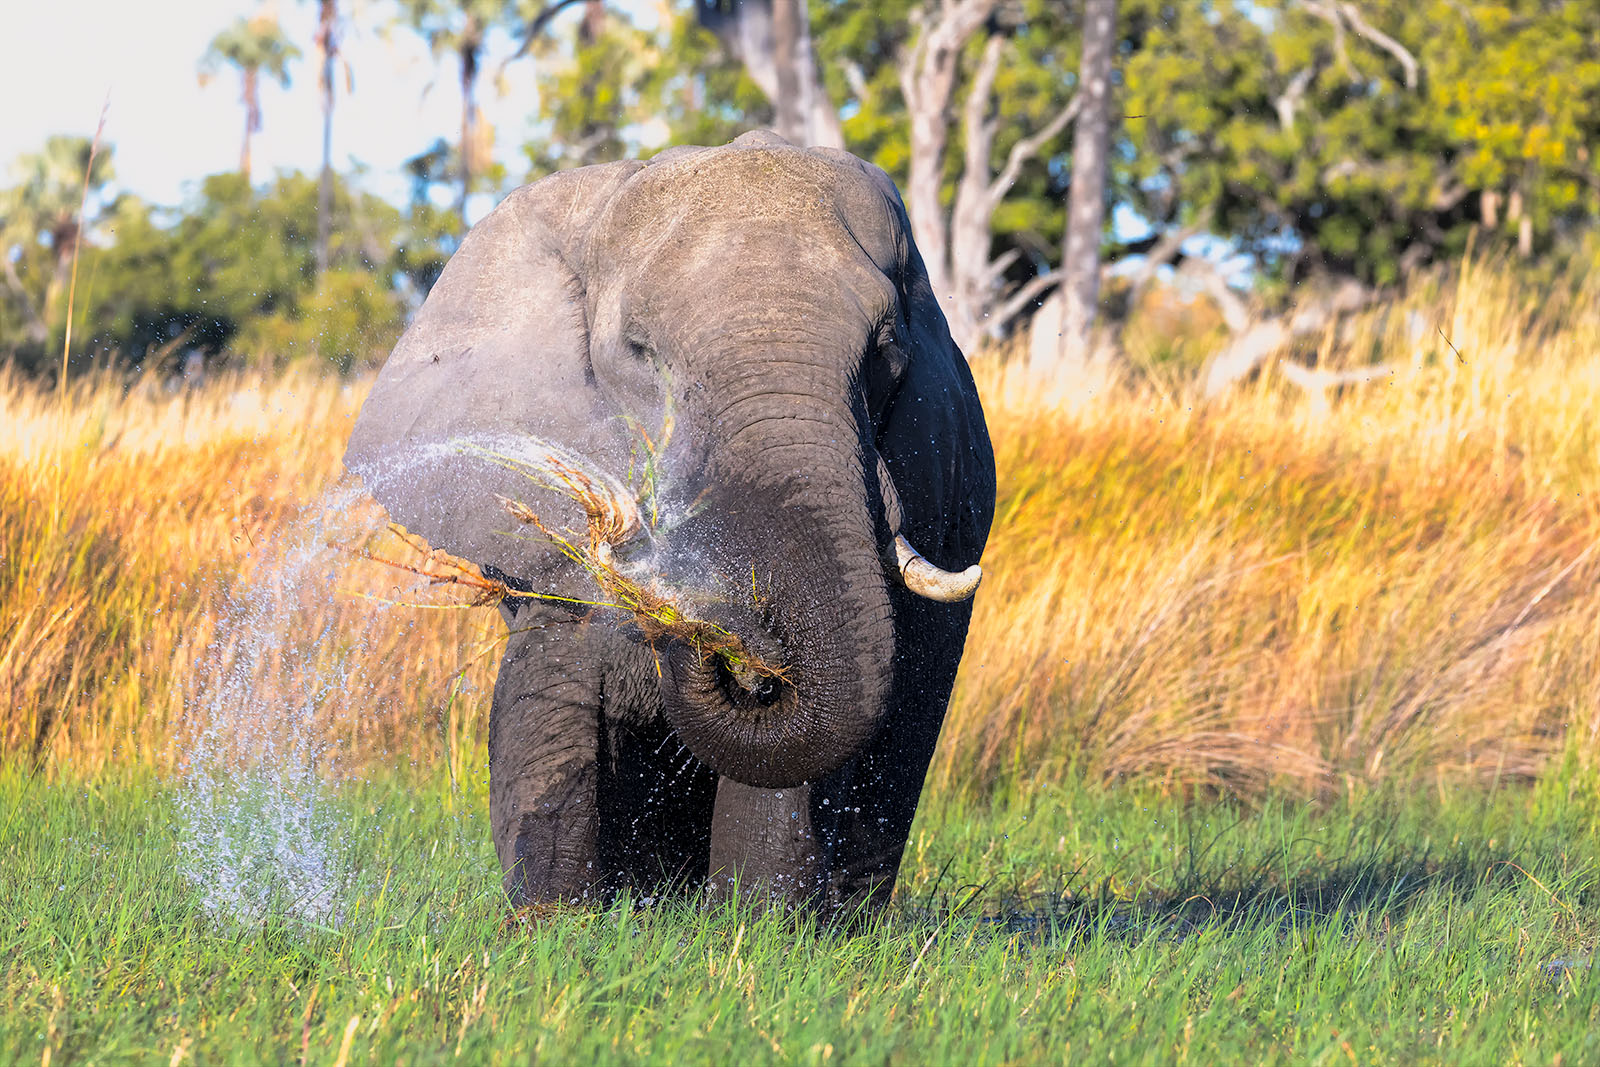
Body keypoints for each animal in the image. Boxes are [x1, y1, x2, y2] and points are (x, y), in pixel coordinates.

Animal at [345, 131, 992, 921]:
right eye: (640, 352)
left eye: (885, 352)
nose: (735, 644)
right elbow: (556, 689)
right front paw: (558, 925)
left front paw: (757, 929)